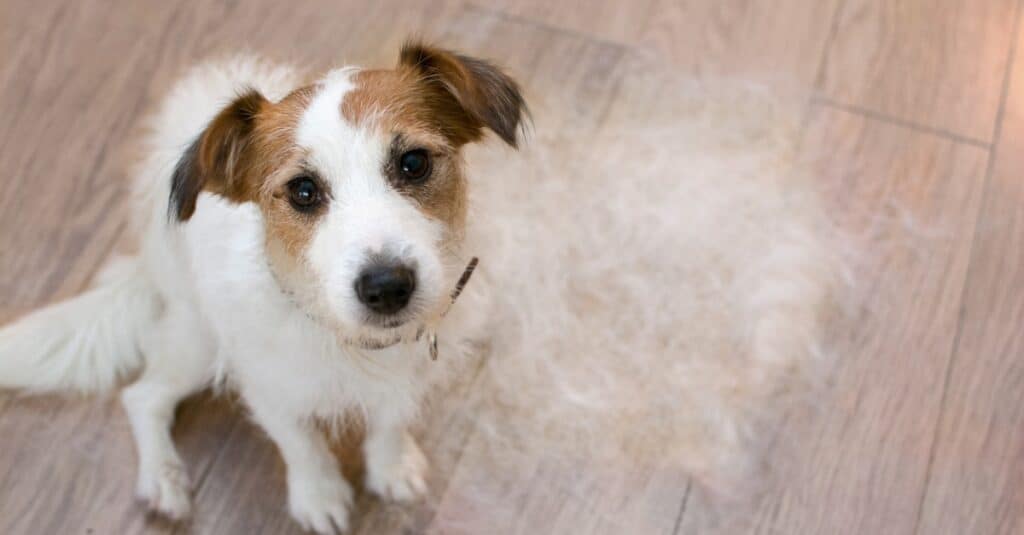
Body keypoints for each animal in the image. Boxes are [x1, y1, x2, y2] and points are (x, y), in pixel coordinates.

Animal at [0, 39, 528, 528]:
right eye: (303, 191)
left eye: (414, 162)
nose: (386, 287)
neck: (346, 337)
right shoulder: (266, 386)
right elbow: (300, 441)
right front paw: (318, 495)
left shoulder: (409, 374)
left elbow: (390, 421)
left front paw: (391, 466)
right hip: (199, 342)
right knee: (143, 396)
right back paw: (163, 479)